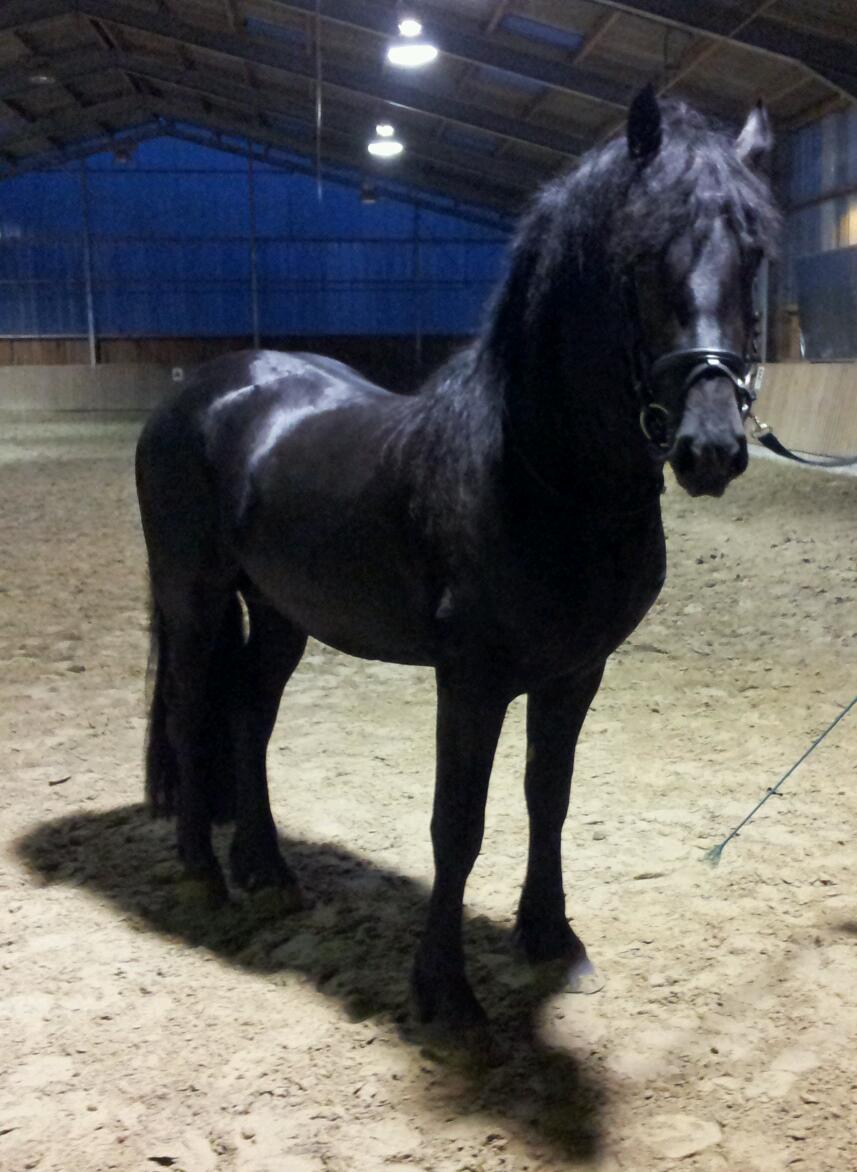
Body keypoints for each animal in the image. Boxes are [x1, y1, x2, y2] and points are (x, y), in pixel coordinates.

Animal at [135, 87, 780, 1031]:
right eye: (639, 257)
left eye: (754, 252)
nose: (710, 449)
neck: (539, 476)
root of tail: (205, 392)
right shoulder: (470, 679)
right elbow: (458, 823)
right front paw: (444, 990)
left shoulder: (574, 673)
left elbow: (548, 799)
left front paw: (549, 939)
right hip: (195, 591)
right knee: (189, 712)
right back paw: (203, 875)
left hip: (282, 611)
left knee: (249, 714)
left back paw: (269, 870)